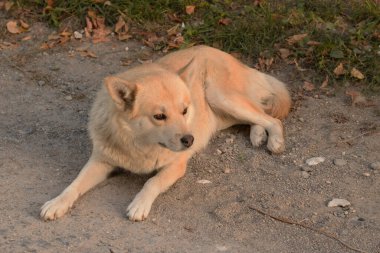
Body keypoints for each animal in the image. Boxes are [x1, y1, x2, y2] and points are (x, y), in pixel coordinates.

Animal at [40, 45, 290, 221]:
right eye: (159, 116)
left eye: (185, 111)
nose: (190, 140)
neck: (139, 145)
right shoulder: (100, 161)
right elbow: (74, 184)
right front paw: (57, 203)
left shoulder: (176, 166)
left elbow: (152, 182)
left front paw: (139, 204)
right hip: (224, 111)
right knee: (259, 115)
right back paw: (257, 135)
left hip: (222, 97)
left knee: (272, 118)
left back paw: (274, 140)